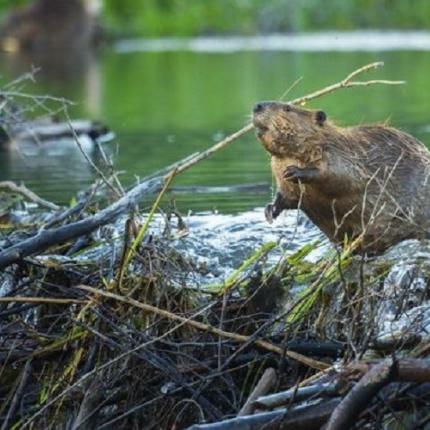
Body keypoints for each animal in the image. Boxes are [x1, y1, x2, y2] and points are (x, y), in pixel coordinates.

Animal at [254, 101, 430, 254]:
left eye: (287, 108)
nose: (257, 106)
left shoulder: (339, 152)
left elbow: (340, 176)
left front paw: (295, 171)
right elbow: (288, 197)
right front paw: (270, 210)